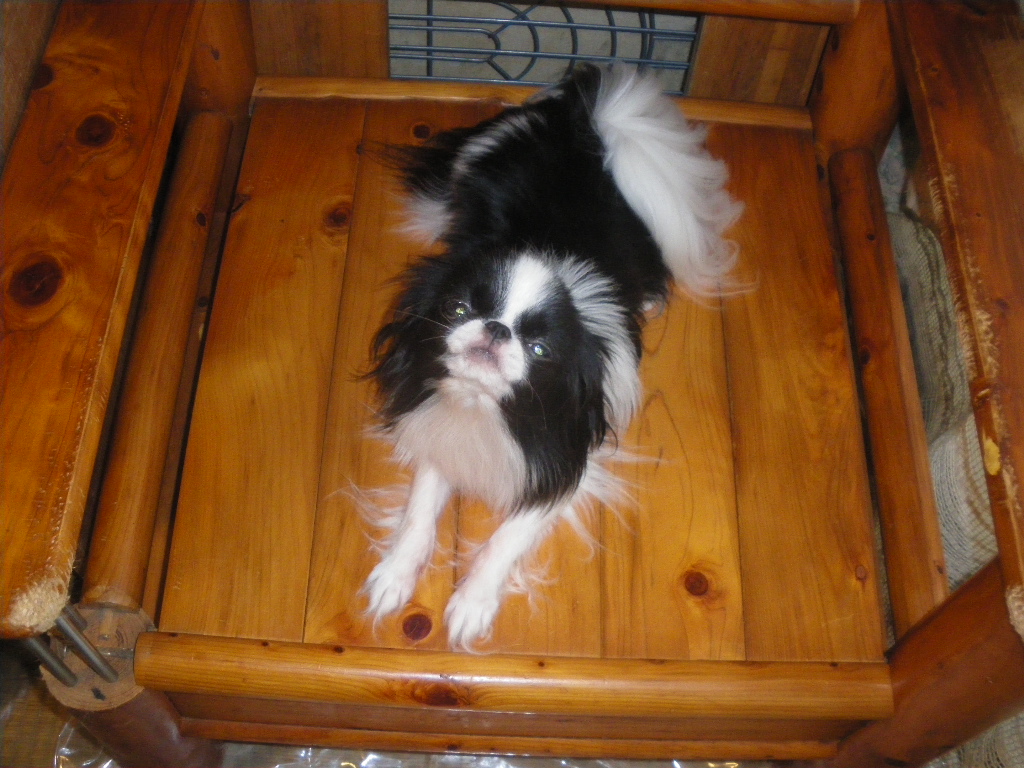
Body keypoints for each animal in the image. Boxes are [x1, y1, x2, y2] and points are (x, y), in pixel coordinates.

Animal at [363, 64, 741, 648]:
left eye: (540, 348)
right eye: (456, 309)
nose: (496, 329)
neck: (487, 411)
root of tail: (584, 122)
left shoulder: (570, 460)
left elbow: (510, 533)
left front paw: (472, 603)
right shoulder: (437, 422)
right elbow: (421, 507)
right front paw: (397, 574)